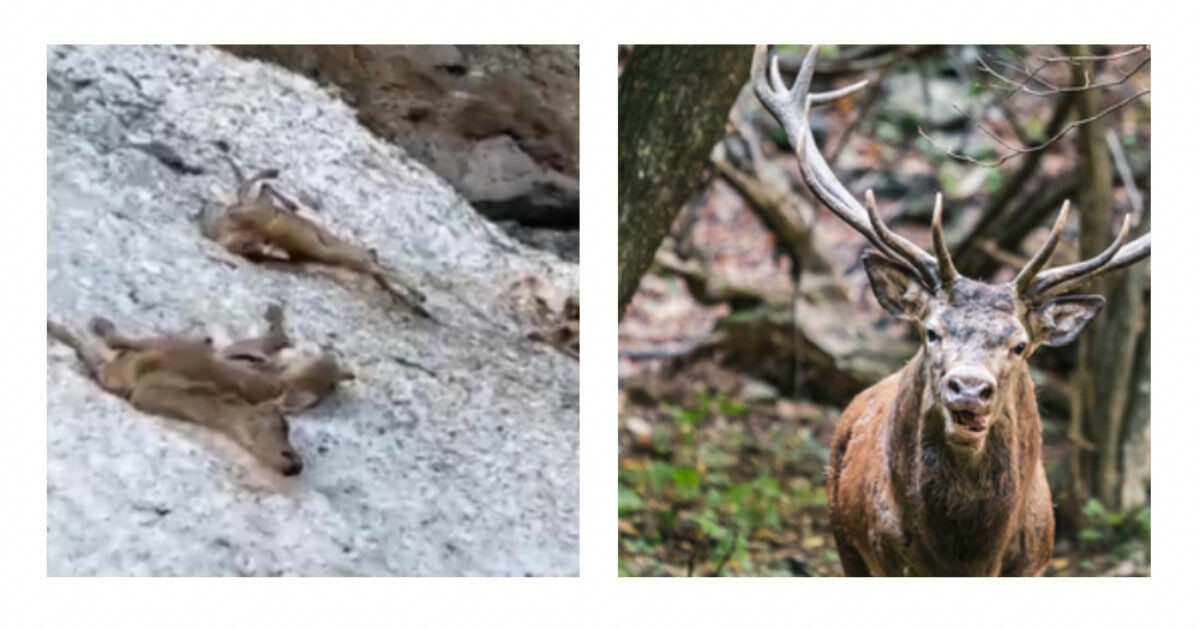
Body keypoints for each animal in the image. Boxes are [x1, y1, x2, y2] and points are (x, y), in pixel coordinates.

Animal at [748, 44, 1152, 573]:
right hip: (845, 540)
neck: (968, 557)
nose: (969, 388)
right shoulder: (886, 556)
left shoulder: (1037, 562)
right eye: (931, 332)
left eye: (1020, 345)